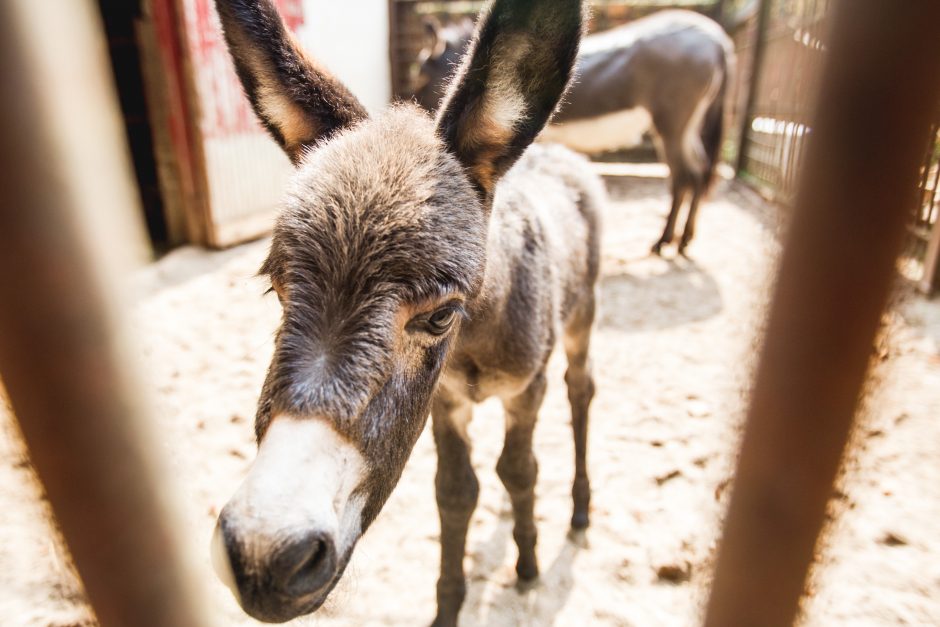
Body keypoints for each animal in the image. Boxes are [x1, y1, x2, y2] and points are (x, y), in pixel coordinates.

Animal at [208, 0, 600, 624]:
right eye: (276, 288)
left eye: (441, 316)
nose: (265, 556)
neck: (475, 338)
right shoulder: (447, 403)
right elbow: (456, 492)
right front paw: (450, 603)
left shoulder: (526, 389)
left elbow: (519, 471)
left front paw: (528, 565)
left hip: (583, 314)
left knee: (581, 390)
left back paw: (580, 510)